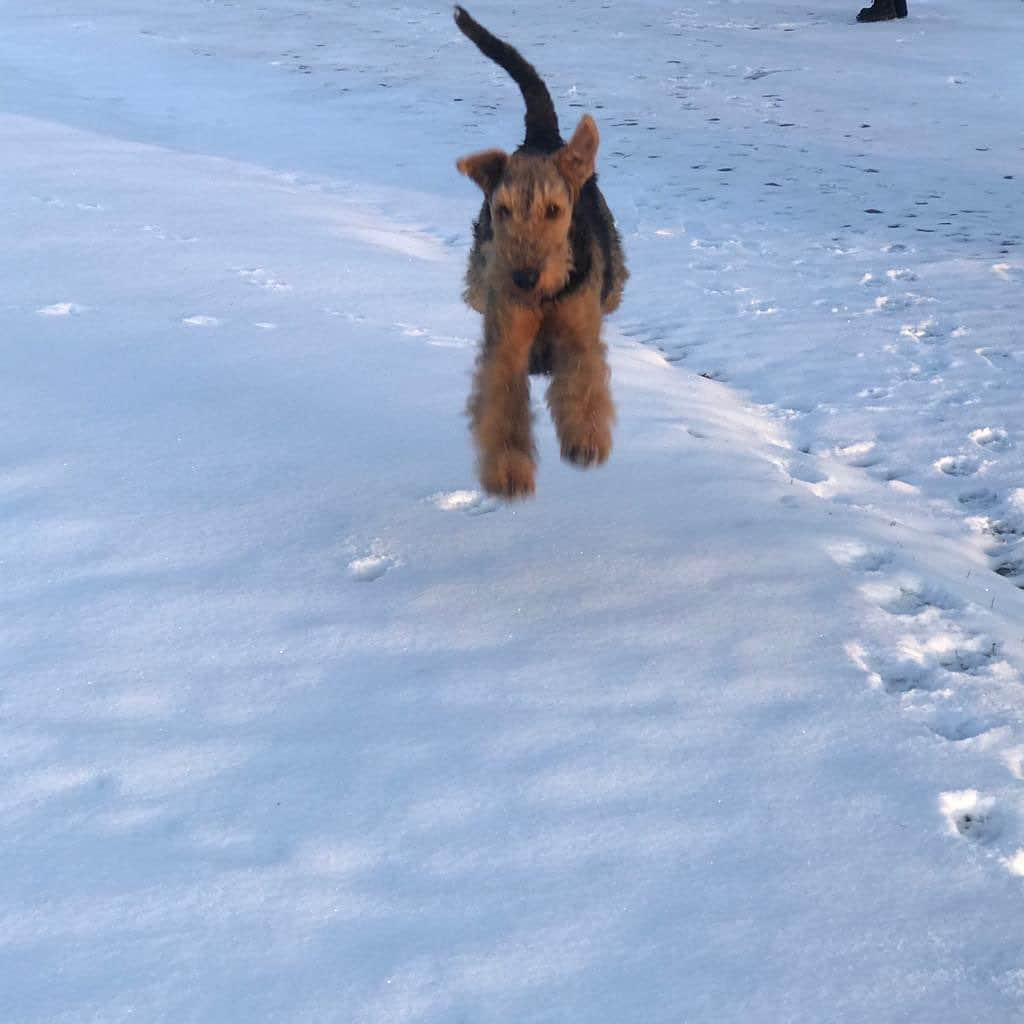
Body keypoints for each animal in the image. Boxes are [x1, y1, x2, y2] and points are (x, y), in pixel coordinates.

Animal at [454, 7, 626, 495]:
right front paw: (508, 469)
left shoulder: (580, 328)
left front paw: (585, 440)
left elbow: (583, 378)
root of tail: (541, 135)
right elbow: (501, 398)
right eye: (503, 209)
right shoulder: (506, 339)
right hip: (480, 277)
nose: (524, 278)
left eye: (554, 210)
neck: (546, 297)